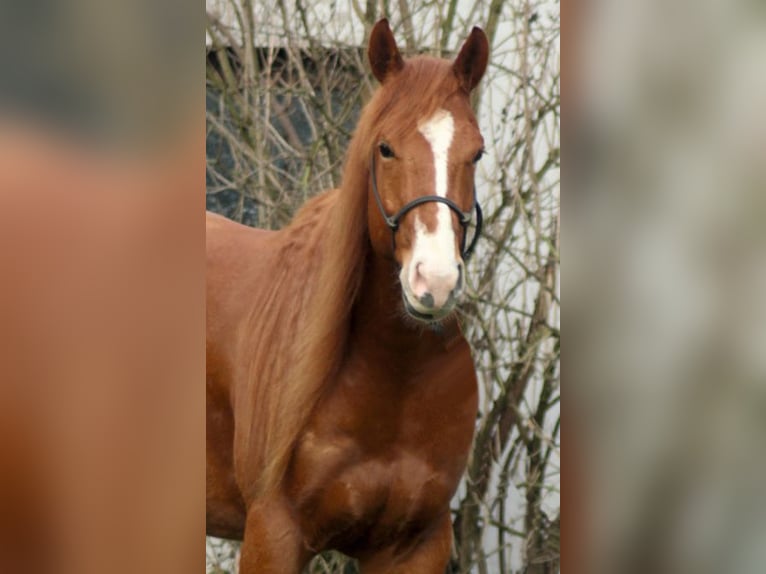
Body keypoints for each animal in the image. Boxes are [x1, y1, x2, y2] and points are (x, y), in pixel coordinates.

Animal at [206, 19, 489, 573]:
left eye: (477, 152)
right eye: (385, 148)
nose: (435, 282)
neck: (391, 375)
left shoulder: (416, 546)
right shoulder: (272, 533)